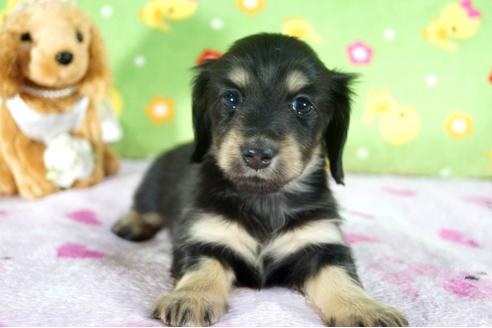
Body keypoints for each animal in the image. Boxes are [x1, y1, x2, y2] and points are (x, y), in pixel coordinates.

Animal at [112, 32, 408, 326]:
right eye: (231, 98)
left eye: (302, 104)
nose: (256, 155)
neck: (264, 200)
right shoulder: (203, 236)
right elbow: (202, 268)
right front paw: (191, 298)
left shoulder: (322, 245)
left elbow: (342, 278)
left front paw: (365, 309)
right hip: (151, 192)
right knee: (144, 210)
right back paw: (130, 224)